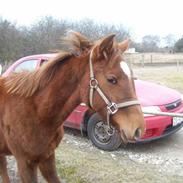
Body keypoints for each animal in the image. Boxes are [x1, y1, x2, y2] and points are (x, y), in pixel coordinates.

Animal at [0, 32, 146, 182]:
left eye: (132, 77)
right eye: (112, 79)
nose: (138, 129)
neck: (38, 112)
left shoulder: (48, 157)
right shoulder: (25, 163)